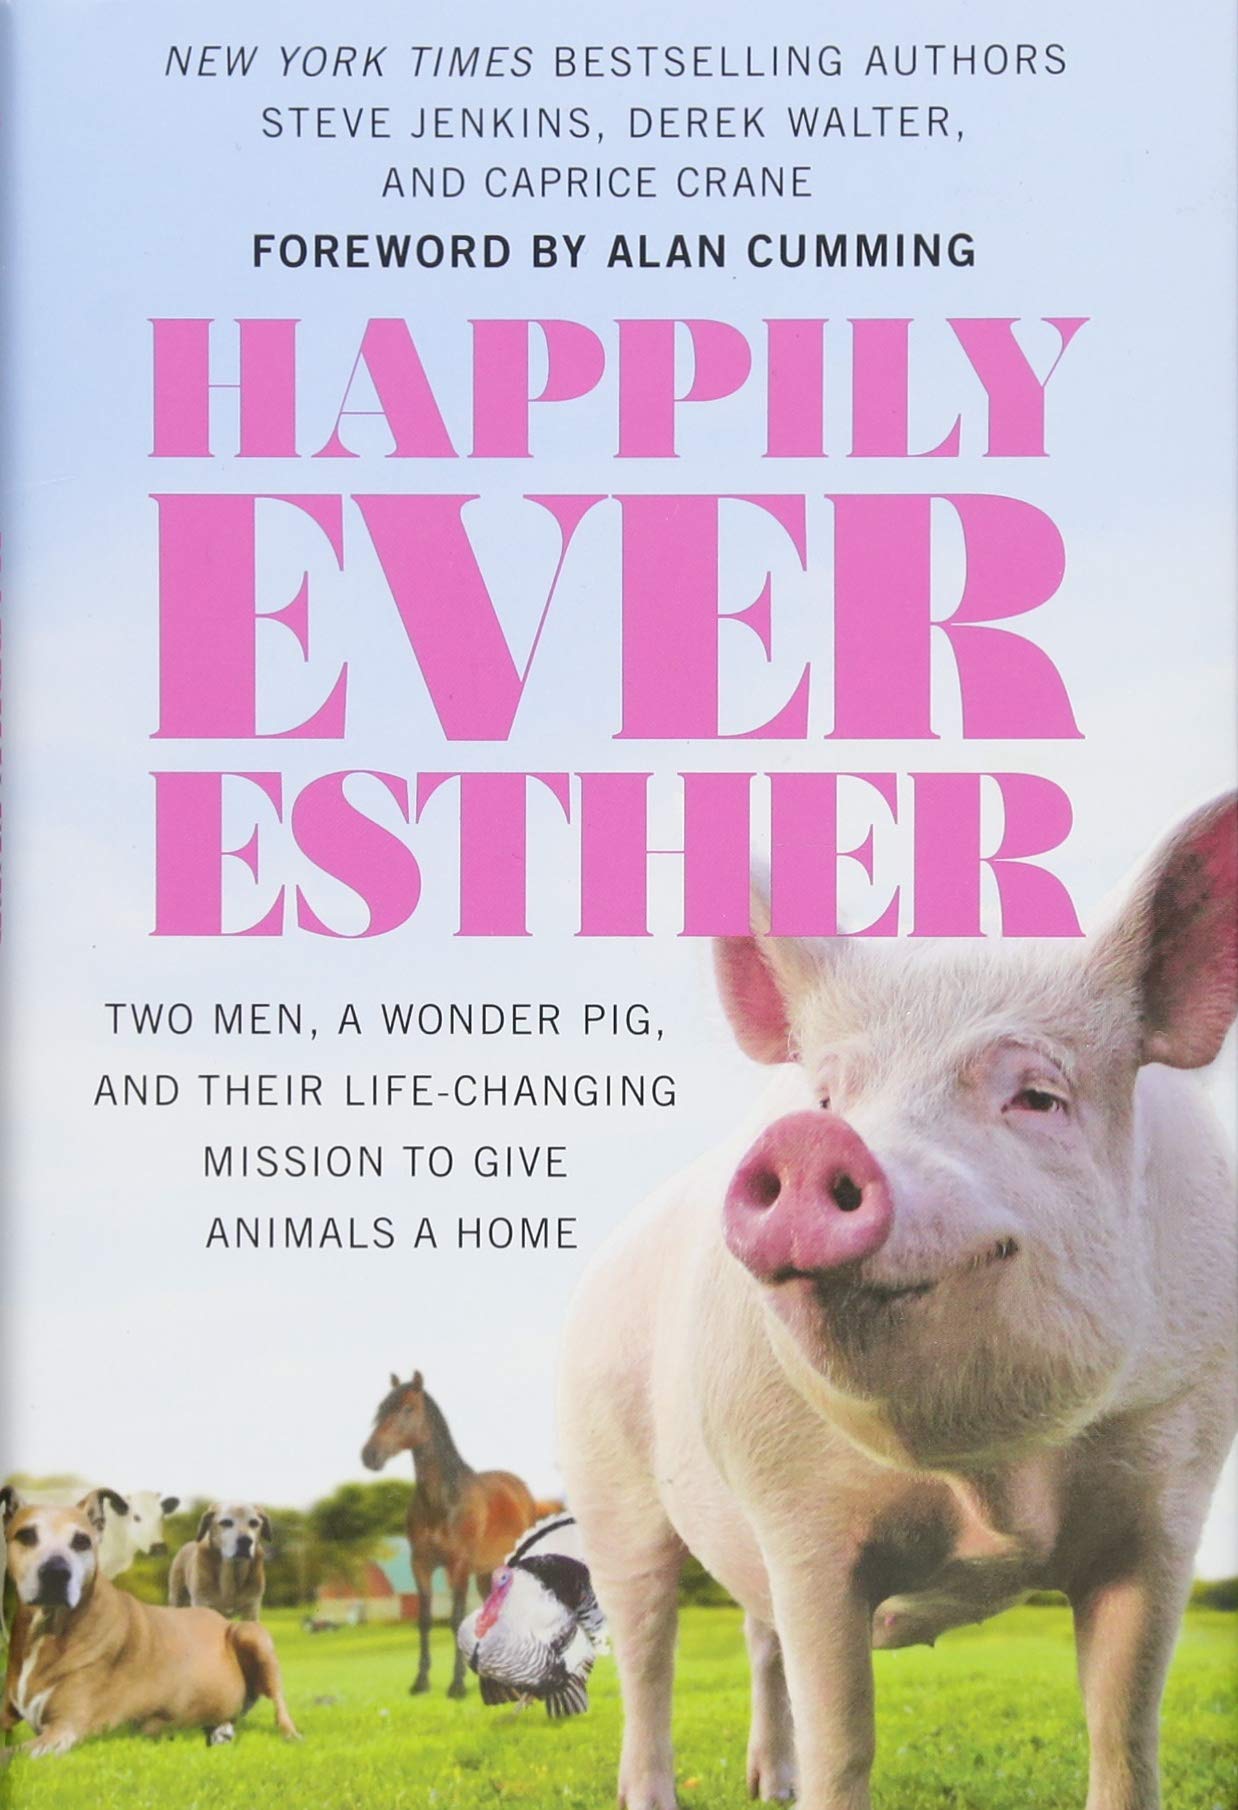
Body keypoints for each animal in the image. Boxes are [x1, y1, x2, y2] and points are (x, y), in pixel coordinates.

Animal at [558, 794, 1237, 1810]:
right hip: (608, 1480)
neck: (990, 1476)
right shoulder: (801, 1524)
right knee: (647, 1653)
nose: (809, 1141)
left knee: (752, 1636)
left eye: (1038, 1096)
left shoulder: (1168, 1499)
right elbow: (845, 1738)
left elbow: (1125, 1730)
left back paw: (770, 1787)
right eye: (826, 1097)